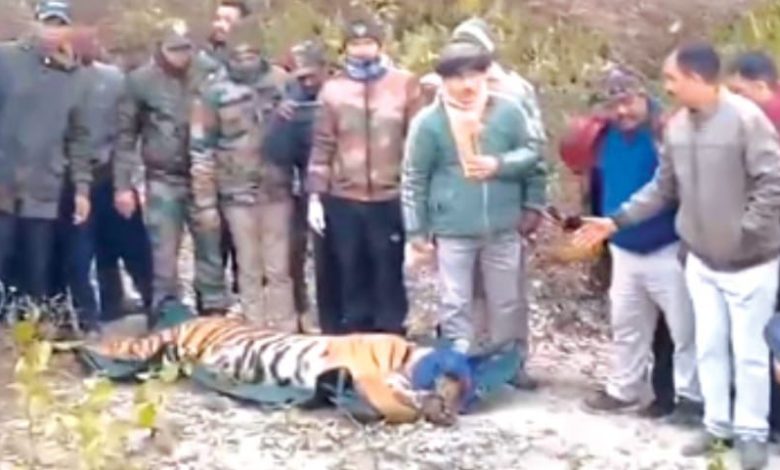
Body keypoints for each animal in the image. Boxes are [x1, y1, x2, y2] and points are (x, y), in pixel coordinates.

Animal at [79, 315, 487, 426]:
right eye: (454, 389)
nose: (452, 415)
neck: (406, 359)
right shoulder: (366, 372)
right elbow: (395, 404)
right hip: (157, 344)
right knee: (118, 349)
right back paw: (81, 344)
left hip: (170, 358)